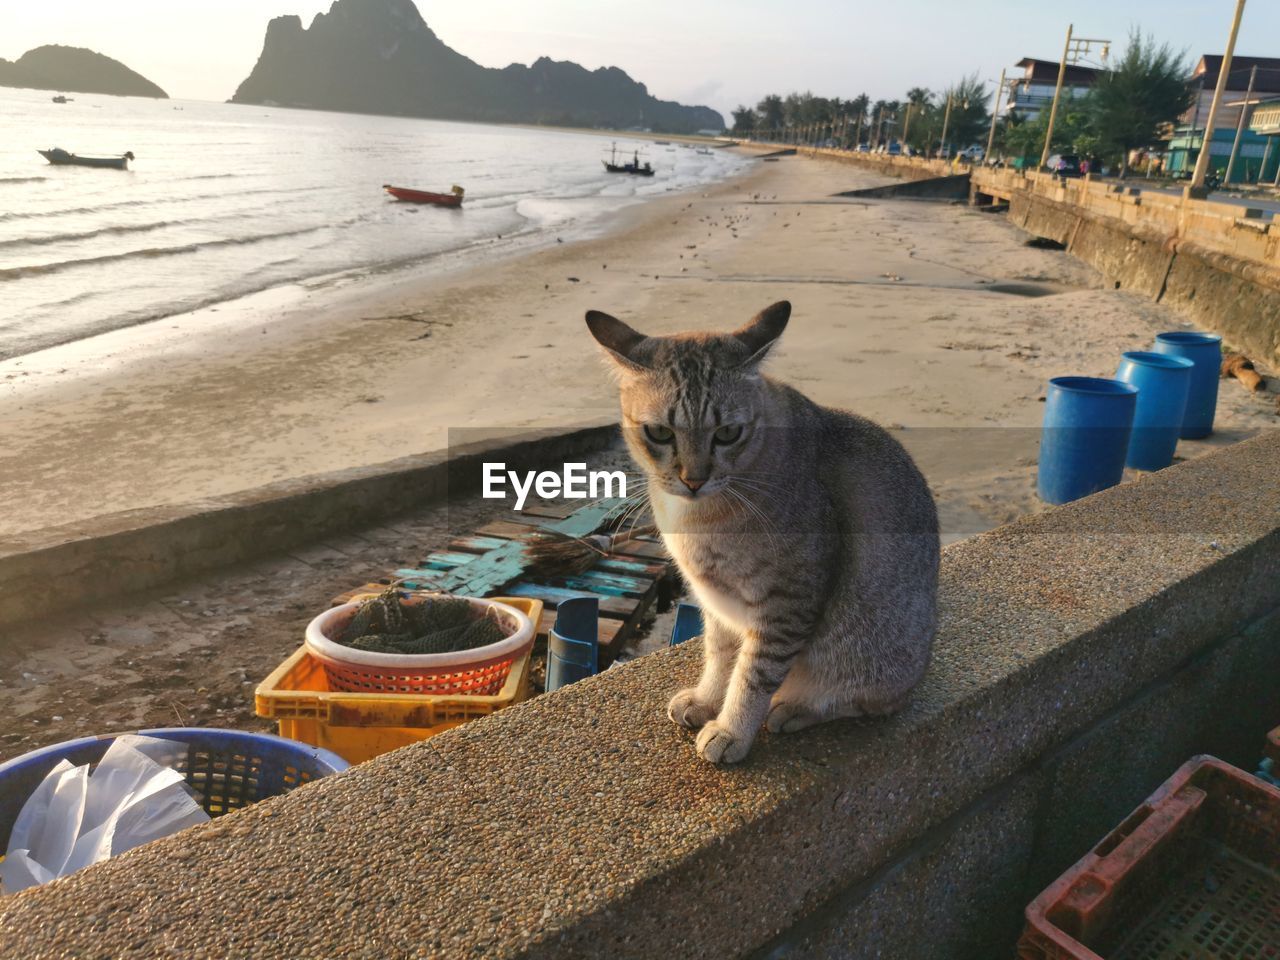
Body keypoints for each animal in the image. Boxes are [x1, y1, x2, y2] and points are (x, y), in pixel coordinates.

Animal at [586, 300, 936, 768]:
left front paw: (731, 730)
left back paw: (796, 708)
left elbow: (752, 676)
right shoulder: (715, 602)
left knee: (864, 700)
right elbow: (720, 658)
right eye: (659, 432)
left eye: (727, 433)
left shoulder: (786, 605)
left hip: (871, 655)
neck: (698, 518)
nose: (693, 479)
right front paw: (706, 700)